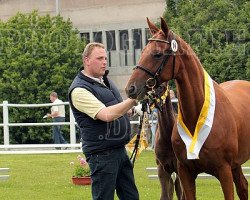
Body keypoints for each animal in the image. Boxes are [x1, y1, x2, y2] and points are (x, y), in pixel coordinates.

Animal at [126, 18, 250, 199]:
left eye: (157, 54)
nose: (131, 88)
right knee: (243, 186)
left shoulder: (224, 171)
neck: (196, 118)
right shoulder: (185, 173)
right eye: (142, 52)